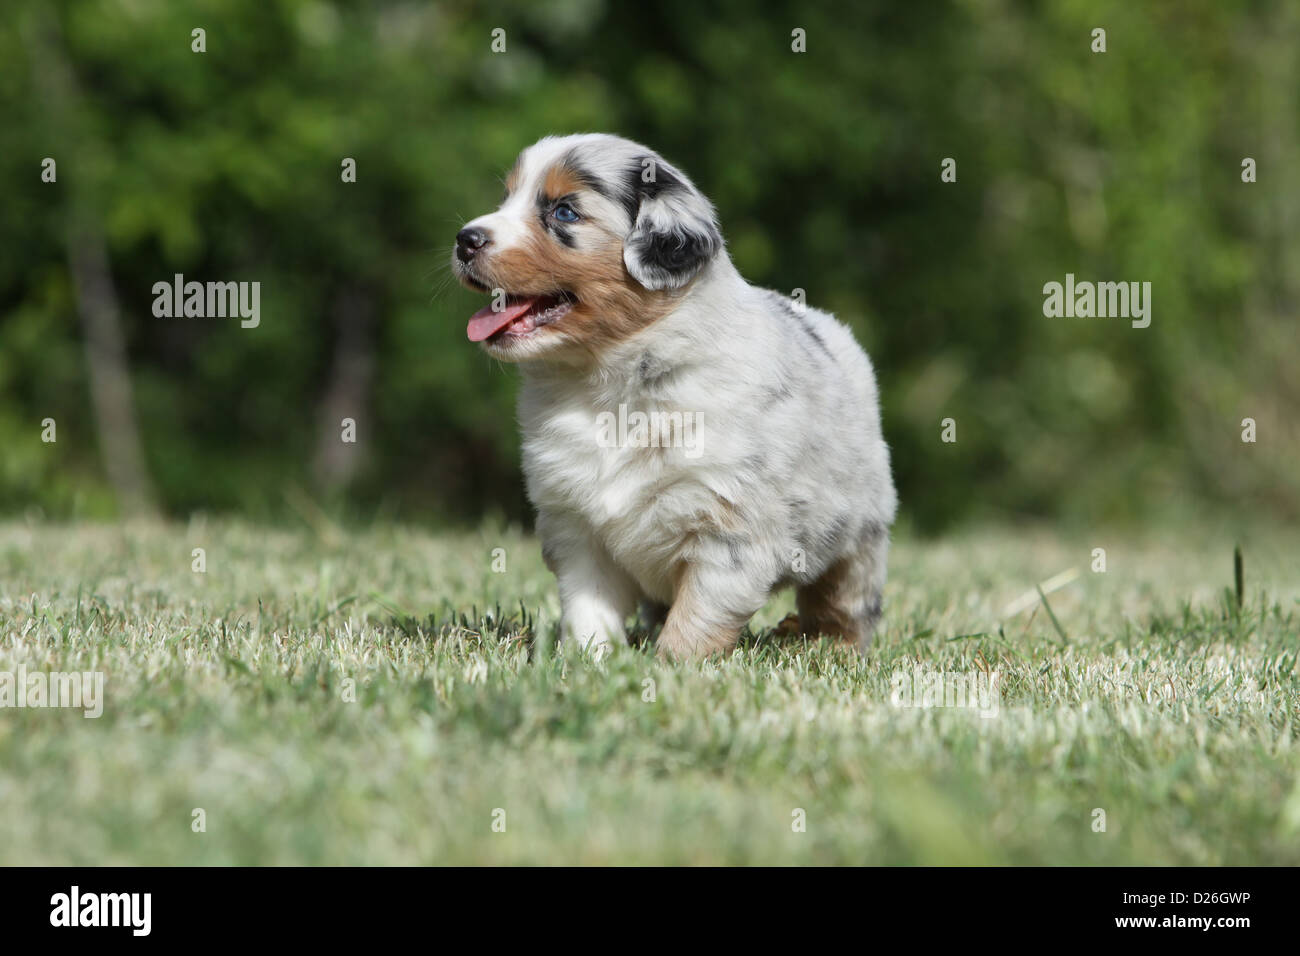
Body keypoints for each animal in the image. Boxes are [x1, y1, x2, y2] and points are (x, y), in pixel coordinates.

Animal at [449, 132, 894, 658]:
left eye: (564, 212)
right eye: (506, 199)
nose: (465, 238)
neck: (610, 382)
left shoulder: (730, 528)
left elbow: (698, 615)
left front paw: (672, 667)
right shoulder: (576, 524)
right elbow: (588, 606)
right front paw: (590, 660)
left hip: (859, 532)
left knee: (843, 599)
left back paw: (827, 643)